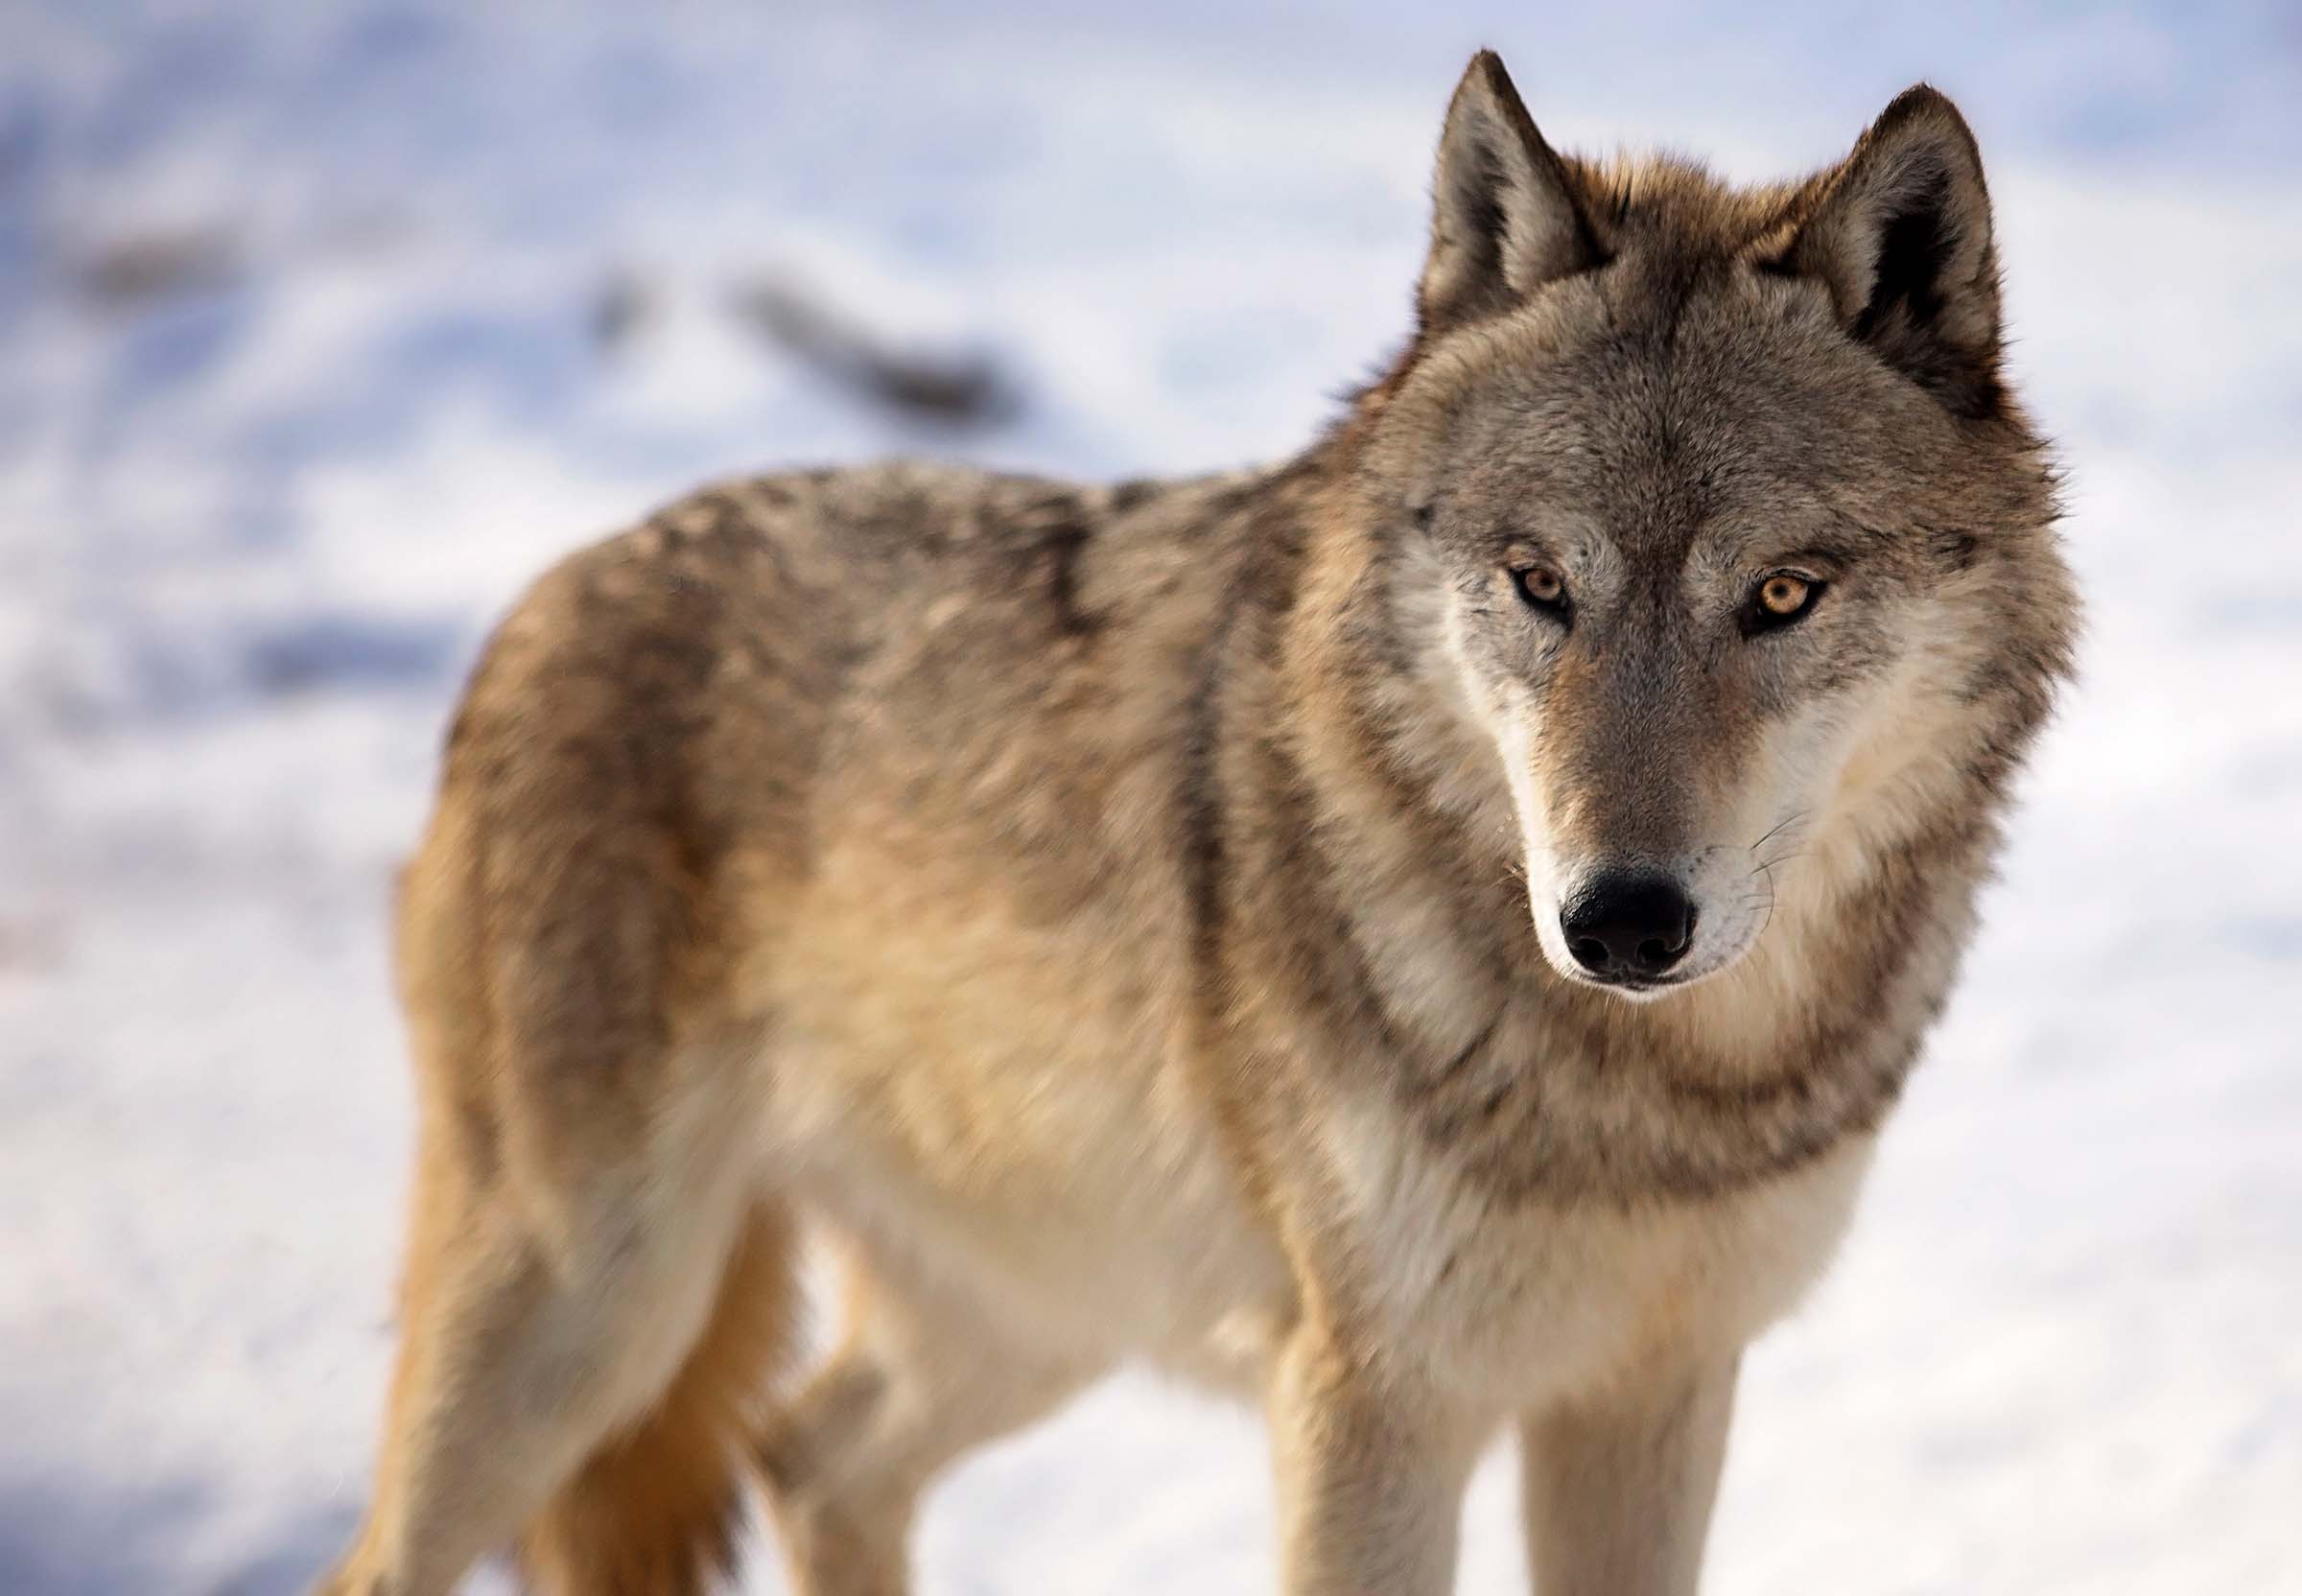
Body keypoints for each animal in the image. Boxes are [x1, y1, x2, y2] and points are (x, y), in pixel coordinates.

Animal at [316, 51, 2077, 1596]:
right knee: (405, 1551)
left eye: (1780, 595)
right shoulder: (1371, 1404)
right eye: (1538, 582)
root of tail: (546, 592)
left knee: (809, 1453)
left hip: (1031, 1310)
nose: (1621, 920)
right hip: (589, 1313)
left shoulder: (1654, 1384)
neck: (1660, 1099)